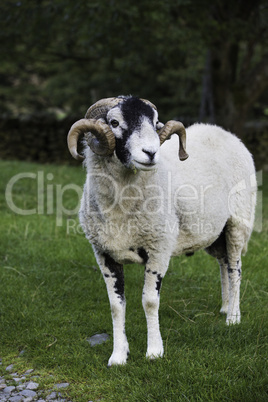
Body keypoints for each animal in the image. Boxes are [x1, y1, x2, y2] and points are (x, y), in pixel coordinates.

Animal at [66, 96, 255, 366]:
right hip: (215, 234)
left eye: (155, 122)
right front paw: (118, 355)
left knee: (235, 269)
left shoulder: (159, 248)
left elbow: (149, 301)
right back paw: (225, 307)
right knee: (224, 264)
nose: (151, 153)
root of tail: (223, 132)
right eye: (114, 122)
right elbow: (116, 305)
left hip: (239, 222)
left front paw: (154, 351)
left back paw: (233, 317)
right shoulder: (104, 253)